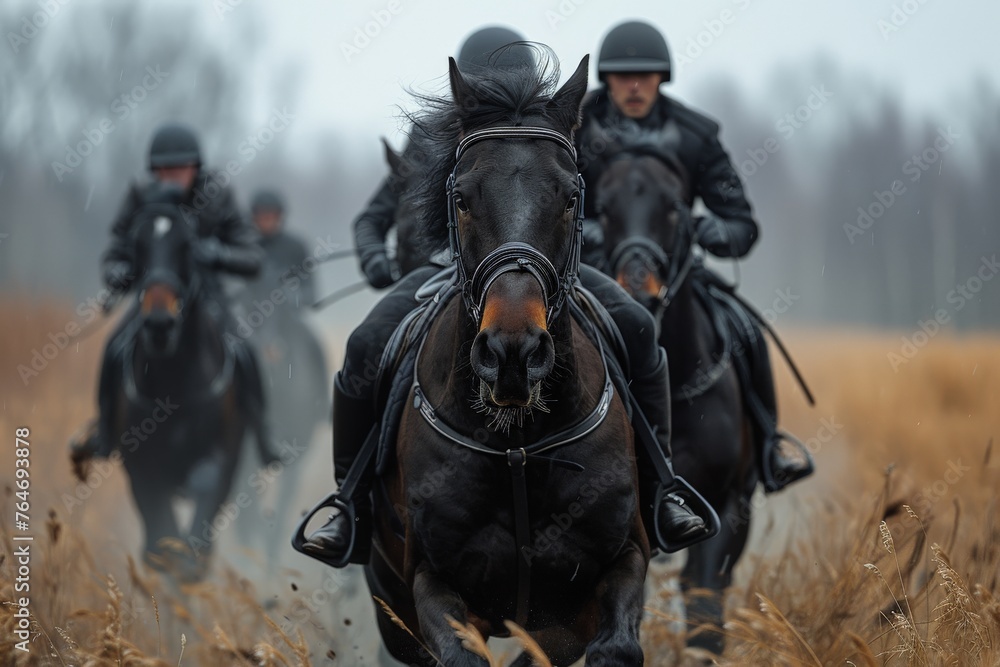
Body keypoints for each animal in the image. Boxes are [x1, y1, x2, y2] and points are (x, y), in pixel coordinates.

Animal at [108, 194, 250, 582]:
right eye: (138, 246)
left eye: (187, 246)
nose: (159, 322)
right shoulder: (142, 469)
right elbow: (163, 542)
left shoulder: (221, 459)